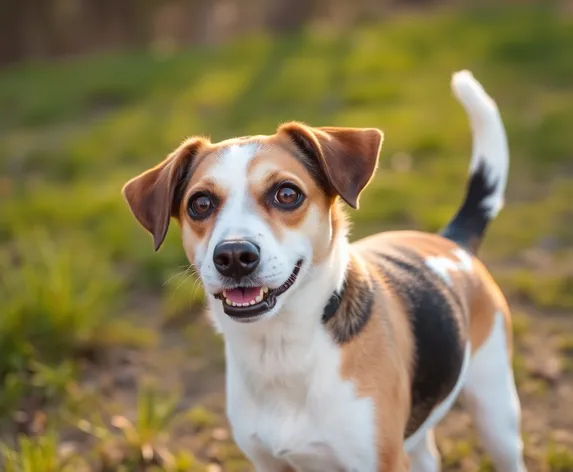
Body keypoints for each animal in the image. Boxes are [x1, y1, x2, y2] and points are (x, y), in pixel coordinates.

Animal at [123, 71, 524, 472]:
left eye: (287, 194)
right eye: (201, 203)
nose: (235, 255)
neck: (280, 349)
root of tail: (451, 241)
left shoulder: (380, 461)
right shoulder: (267, 463)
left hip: (496, 413)